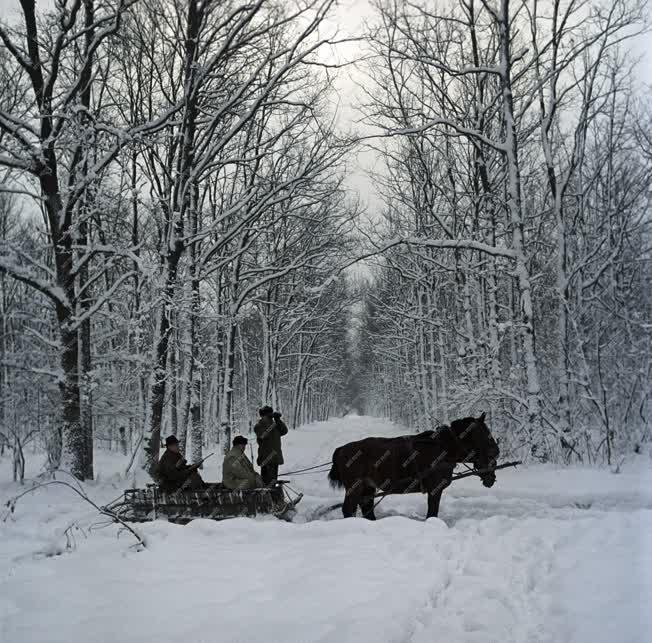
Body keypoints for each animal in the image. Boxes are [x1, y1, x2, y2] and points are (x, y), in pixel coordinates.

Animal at [326, 416, 500, 520]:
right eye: (486, 437)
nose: (497, 452)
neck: (443, 447)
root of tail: (342, 449)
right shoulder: (435, 489)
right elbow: (432, 512)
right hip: (354, 487)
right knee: (348, 509)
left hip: (367, 487)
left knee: (366, 507)